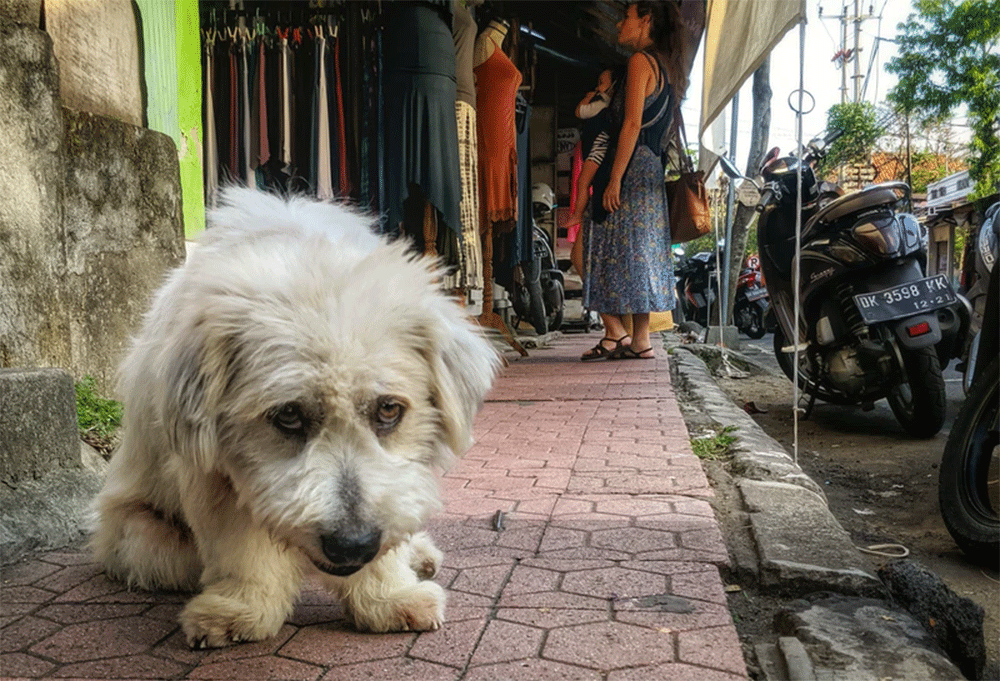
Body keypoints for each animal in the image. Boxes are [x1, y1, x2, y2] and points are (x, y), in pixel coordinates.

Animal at [92, 186, 498, 648]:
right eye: (288, 415)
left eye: (388, 409)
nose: (353, 546)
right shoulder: (215, 477)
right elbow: (242, 546)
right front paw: (243, 608)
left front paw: (388, 596)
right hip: (147, 537)